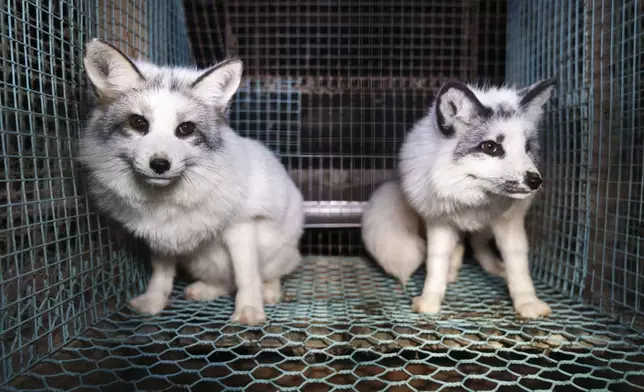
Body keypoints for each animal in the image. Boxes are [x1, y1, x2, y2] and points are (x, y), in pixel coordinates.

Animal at [77, 39, 304, 326]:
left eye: (185, 129)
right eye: (138, 122)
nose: (159, 165)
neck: (167, 199)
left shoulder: (242, 227)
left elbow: (247, 276)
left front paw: (249, 309)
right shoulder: (161, 236)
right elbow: (161, 275)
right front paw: (154, 301)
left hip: (277, 253)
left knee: (264, 275)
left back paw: (270, 292)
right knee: (225, 283)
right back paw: (204, 290)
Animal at [362, 77, 552, 318]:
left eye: (527, 148)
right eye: (491, 147)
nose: (535, 181)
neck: (472, 198)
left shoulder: (509, 223)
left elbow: (518, 265)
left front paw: (528, 302)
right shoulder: (439, 222)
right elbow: (436, 262)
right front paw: (430, 299)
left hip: (485, 229)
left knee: (477, 244)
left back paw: (493, 267)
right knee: (461, 244)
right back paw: (452, 271)